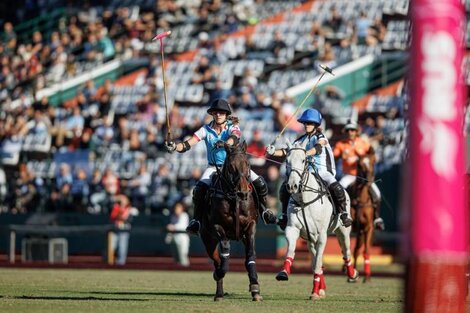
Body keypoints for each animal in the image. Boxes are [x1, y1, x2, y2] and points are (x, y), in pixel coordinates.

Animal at [199, 141, 262, 300]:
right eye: (231, 166)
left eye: (247, 164)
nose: (243, 193)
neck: (234, 198)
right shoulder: (217, 226)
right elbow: (225, 253)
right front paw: (219, 273)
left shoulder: (251, 225)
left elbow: (250, 254)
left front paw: (255, 288)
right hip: (208, 239)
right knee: (216, 260)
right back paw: (219, 293)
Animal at [274, 141, 358, 298]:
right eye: (287, 161)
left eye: (303, 160)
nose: (292, 186)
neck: (303, 200)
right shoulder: (292, 229)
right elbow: (292, 251)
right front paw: (283, 273)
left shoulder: (322, 235)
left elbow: (319, 261)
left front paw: (314, 292)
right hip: (310, 240)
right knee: (315, 260)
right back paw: (321, 288)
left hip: (343, 231)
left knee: (346, 252)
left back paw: (352, 275)